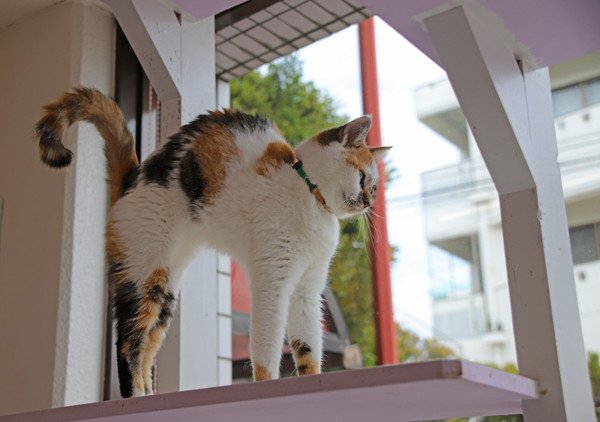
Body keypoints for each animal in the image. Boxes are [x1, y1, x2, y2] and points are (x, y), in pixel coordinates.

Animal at [35, 87, 390, 398]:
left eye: (374, 188)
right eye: (365, 180)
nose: (369, 202)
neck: (309, 193)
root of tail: (132, 179)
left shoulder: (307, 290)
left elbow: (308, 346)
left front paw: (310, 382)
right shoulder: (273, 281)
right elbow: (268, 346)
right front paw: (266, 387)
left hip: (166, 289)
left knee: (148, 346)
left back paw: (149, 395)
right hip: (143, 273)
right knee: (128, 342)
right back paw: (134, 397)